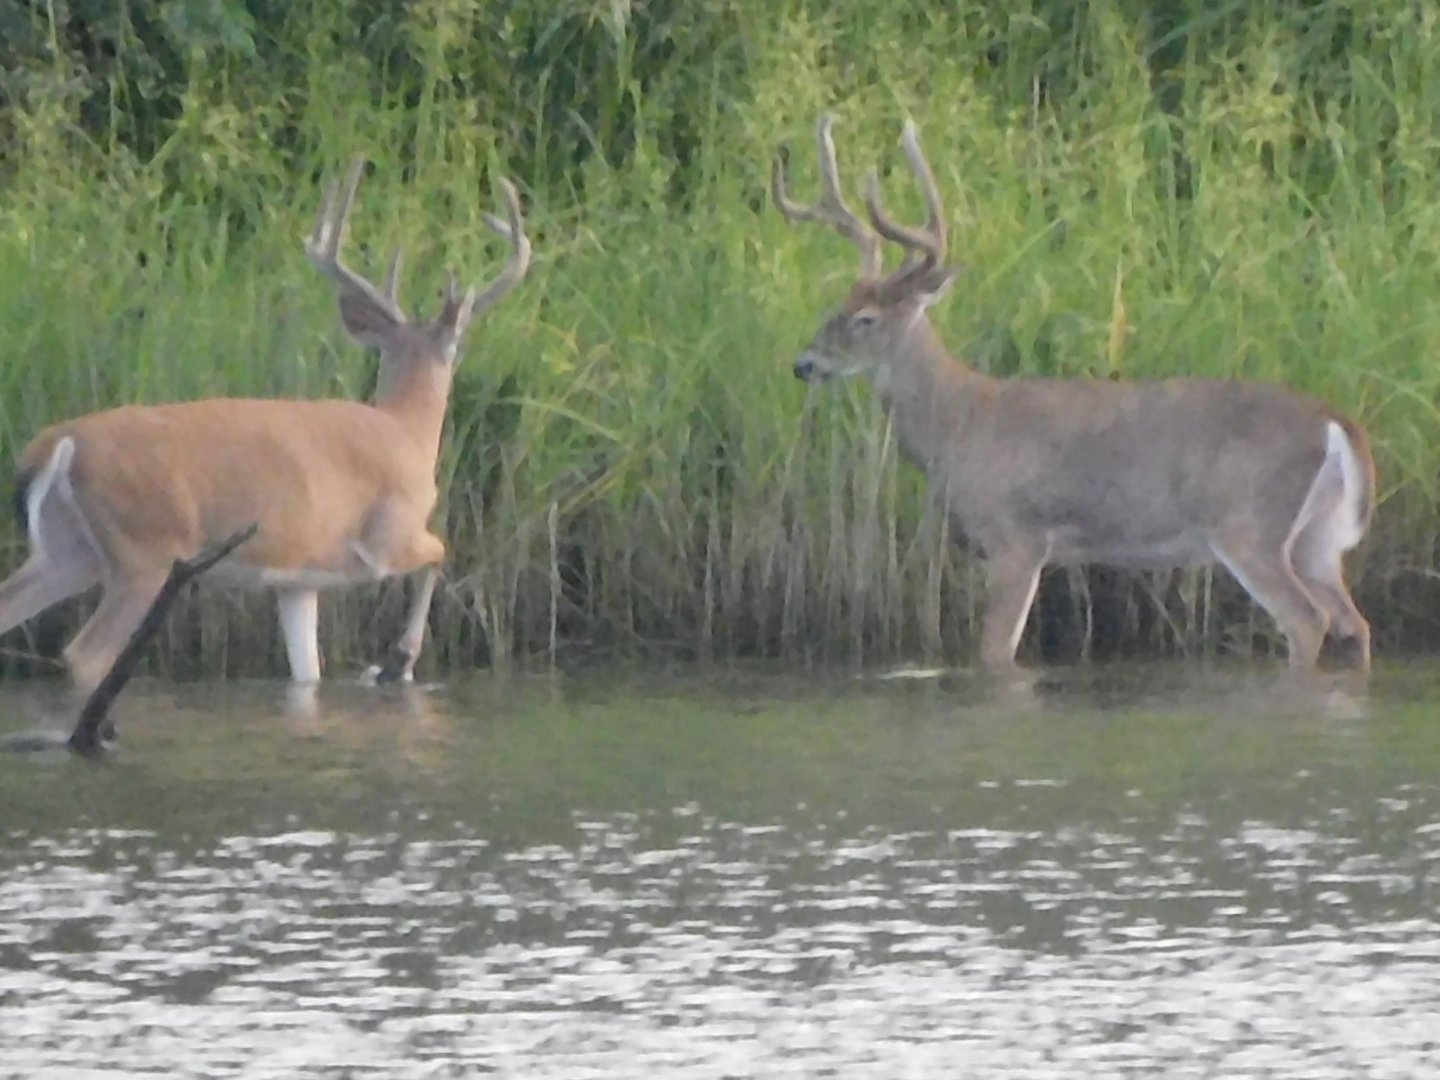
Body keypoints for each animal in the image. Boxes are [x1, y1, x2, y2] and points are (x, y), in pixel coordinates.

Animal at [0, 156, 530, 693]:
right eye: (458, 344)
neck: (407, 429)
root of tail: (59, 444)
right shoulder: (389, 533)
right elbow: (441, 552)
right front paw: (395, 662)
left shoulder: (298, 581)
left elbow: (307, 671)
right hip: (144, 550)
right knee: (86, 652)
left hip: (67, 552)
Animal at [772, 115, 1375, 671]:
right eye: (836, 305)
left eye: (865, 319)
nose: (804, 364)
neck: (960, 424)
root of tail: (1336, 423)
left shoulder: (1015, 537)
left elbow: (995, 654)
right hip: (1317, 539)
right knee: (1355, 622)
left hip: (1250, 525)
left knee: (1307, 619)